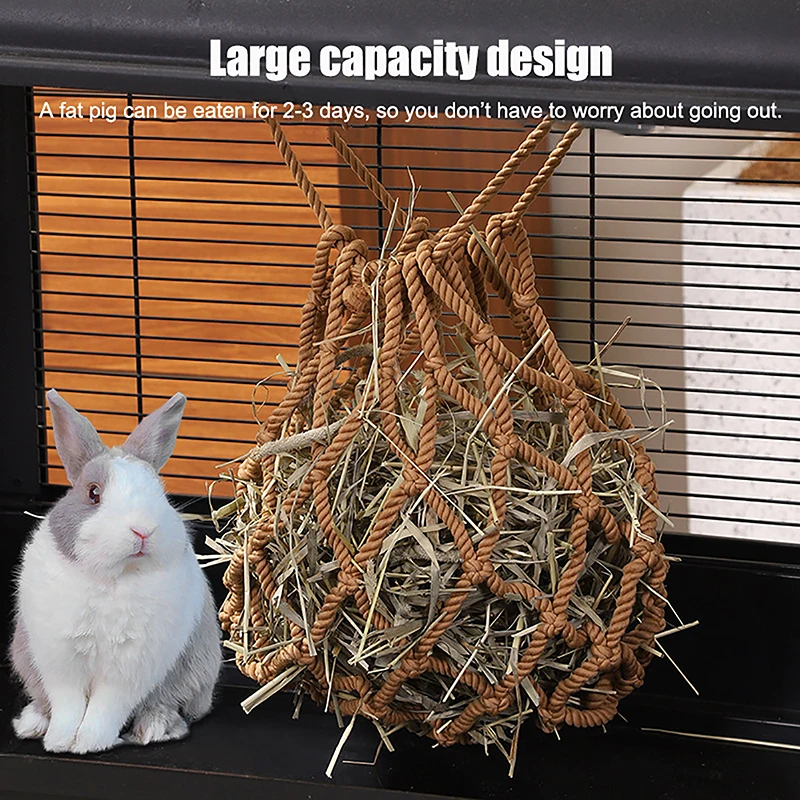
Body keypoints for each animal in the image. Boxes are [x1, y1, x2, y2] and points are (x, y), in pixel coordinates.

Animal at [8, 390, 222, 754]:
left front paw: (89, 744)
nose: (143, 530)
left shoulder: (129, 671)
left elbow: (106, 708)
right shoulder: (60, 663)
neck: (112, 577)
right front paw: (60, 742)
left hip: (194, 674)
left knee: (168, 705)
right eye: (93, 493)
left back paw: (154, 727)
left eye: (160, 494)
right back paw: (32, 723)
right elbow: (67, 706)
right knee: (45, 702)